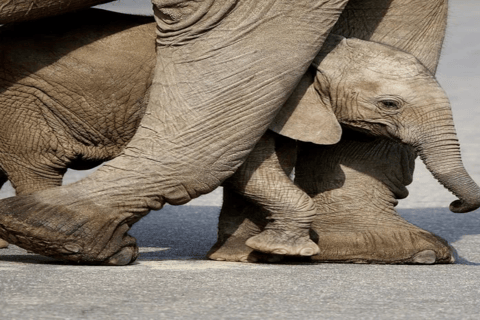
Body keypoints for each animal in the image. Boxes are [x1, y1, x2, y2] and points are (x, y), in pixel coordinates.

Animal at [0, 0, 476, 264]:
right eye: (389, 104)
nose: (456, 207)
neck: (326, 48)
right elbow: (251, 169)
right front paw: (285, 253)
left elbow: (261, 169)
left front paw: (249, 254)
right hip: (23, 105)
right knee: (37, 165)